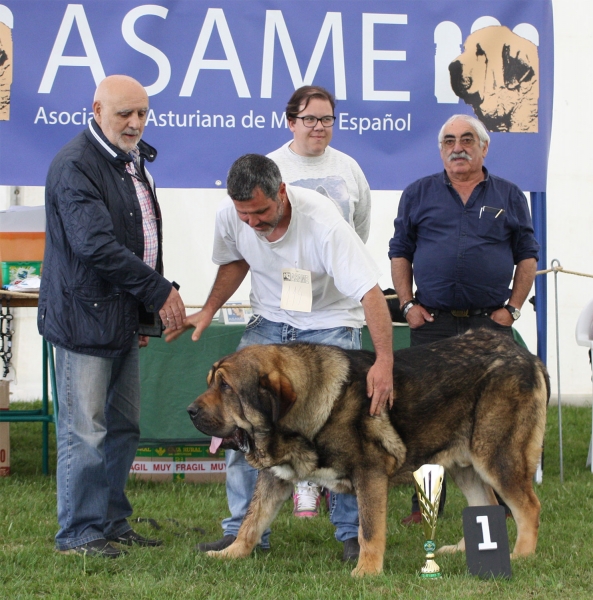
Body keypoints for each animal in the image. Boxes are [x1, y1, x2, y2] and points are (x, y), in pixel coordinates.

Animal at [187, 328, 548, 576]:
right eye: (210, 382)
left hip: (495, 456)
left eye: (226, 387)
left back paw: (521, 555)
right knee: (486, 505)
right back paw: (466, 549)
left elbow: (370, 530)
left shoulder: (369, 473)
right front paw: (232, 553)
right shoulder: (274, 478)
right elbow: (252, 521)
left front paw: (367, 571)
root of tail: (526, 355)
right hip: (465, 466)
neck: (309, 406)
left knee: (528, 506)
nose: (190, 410)